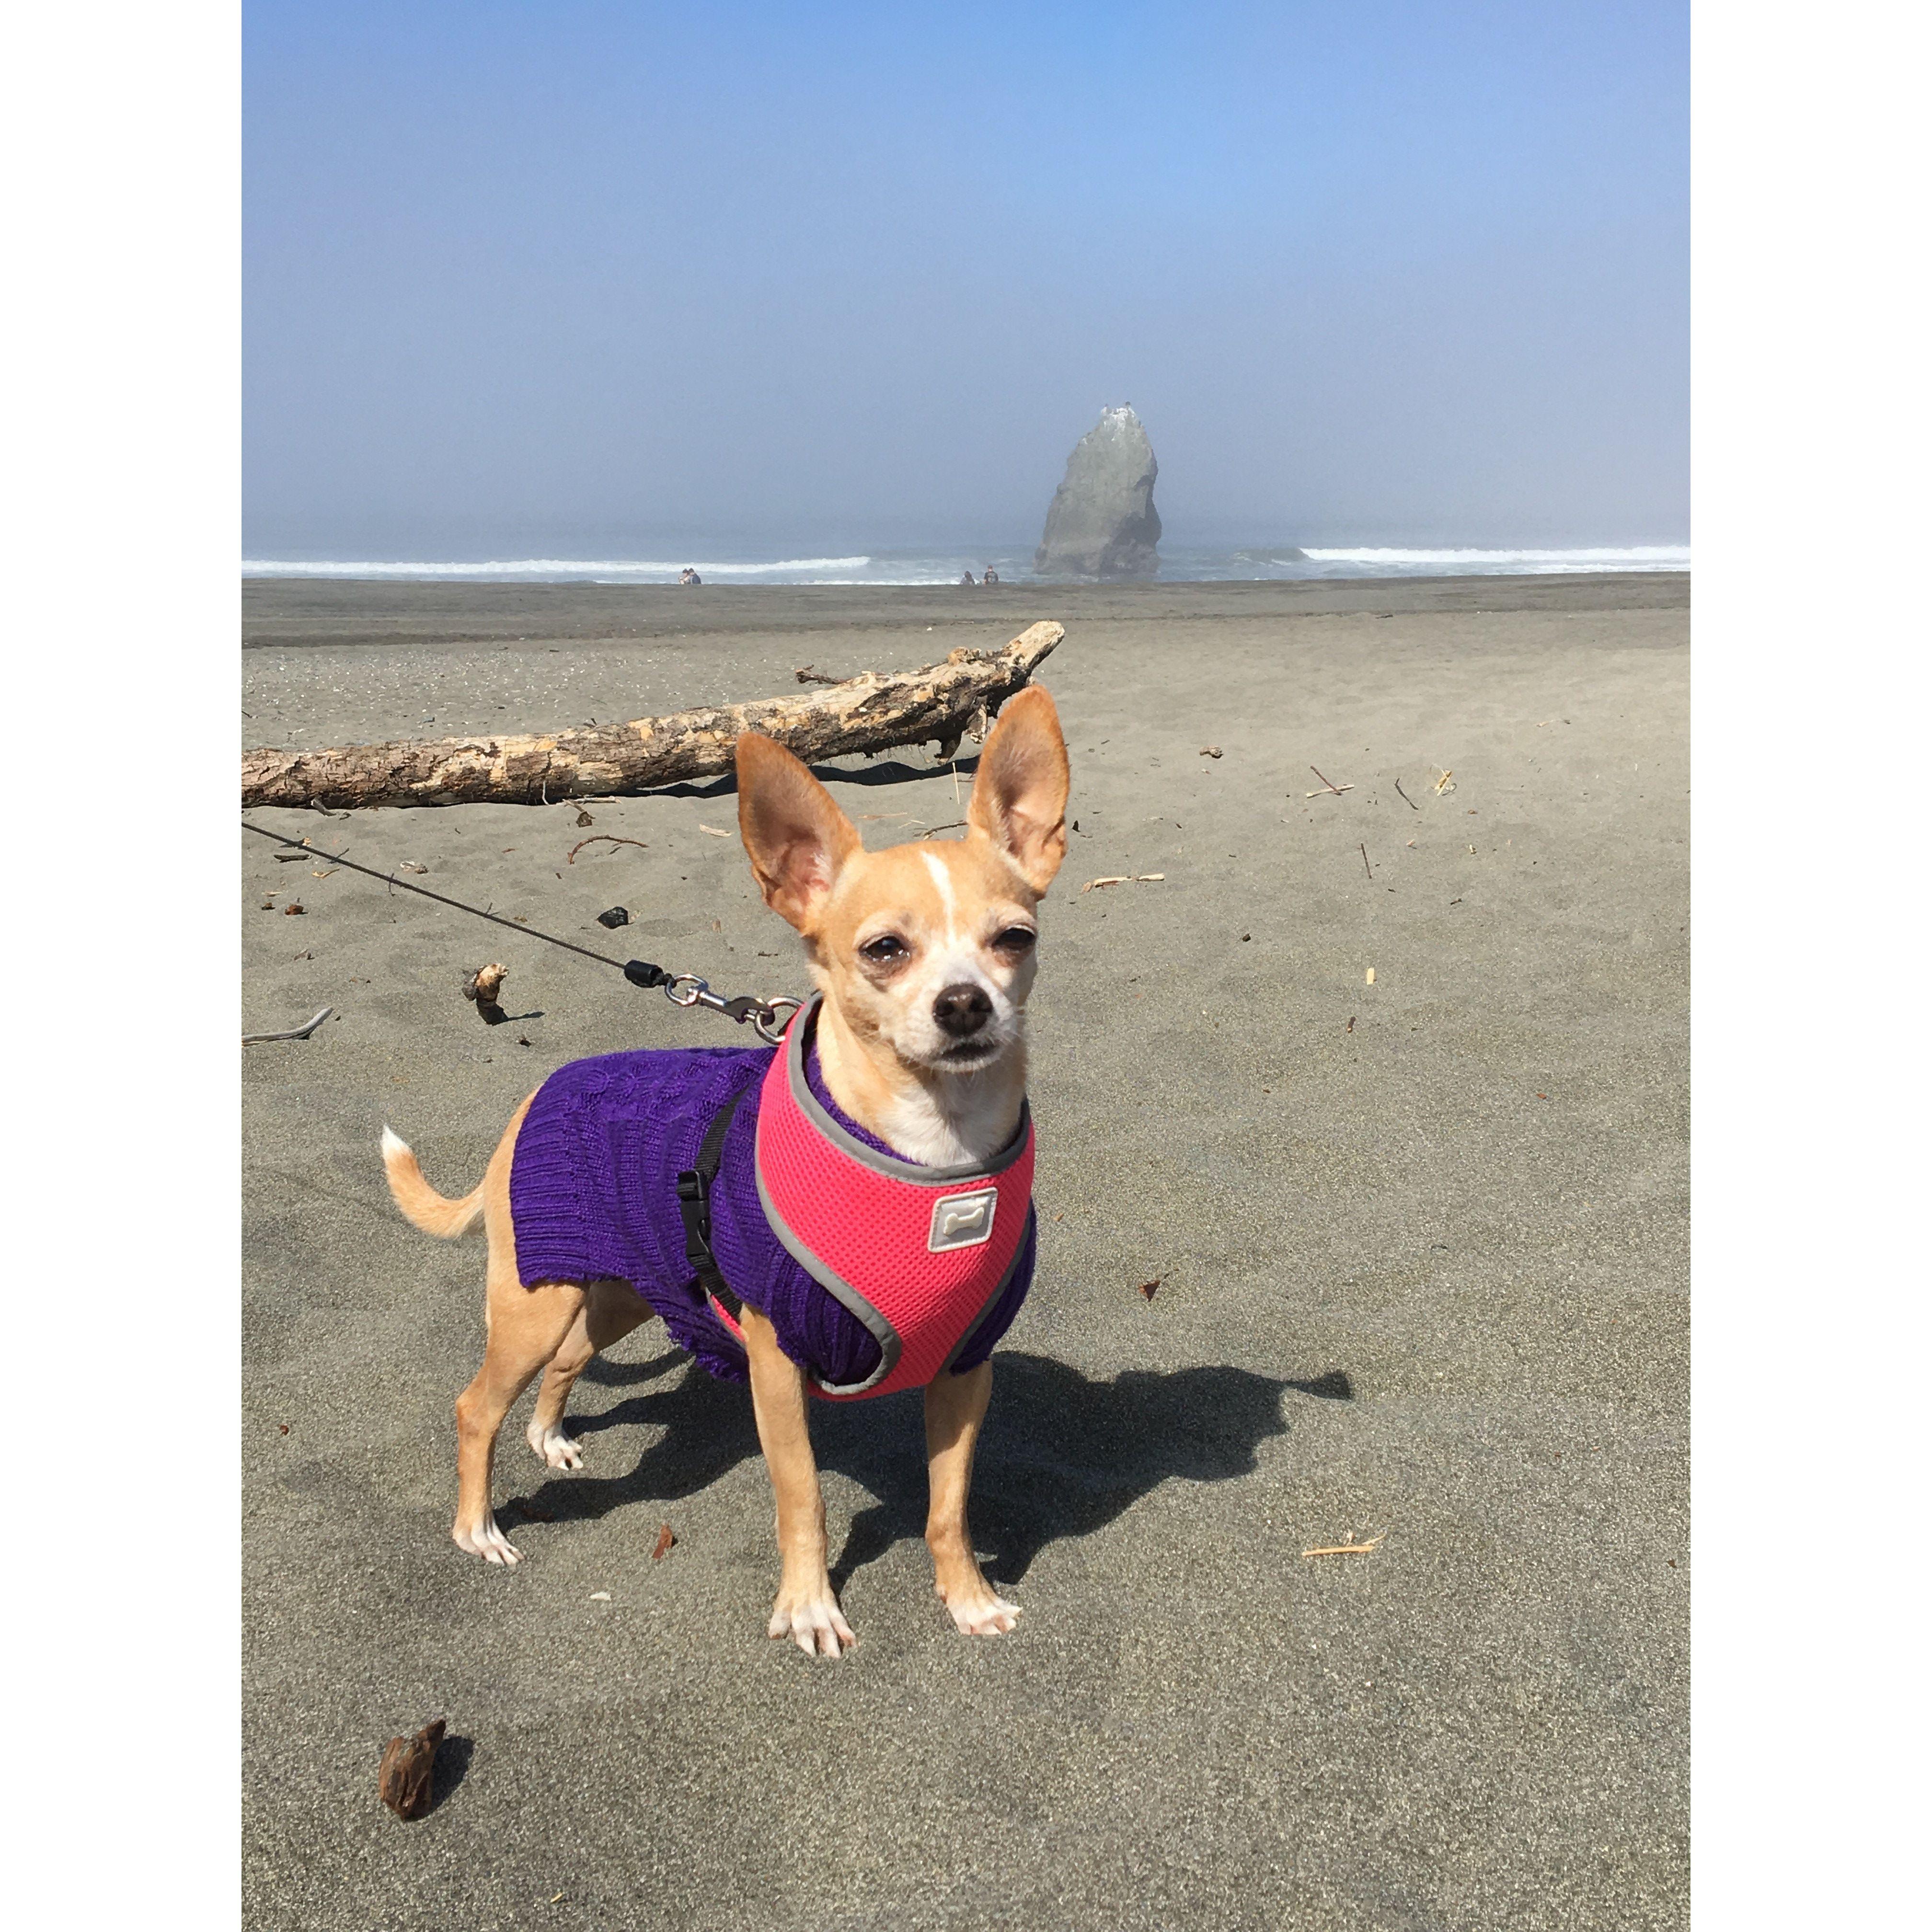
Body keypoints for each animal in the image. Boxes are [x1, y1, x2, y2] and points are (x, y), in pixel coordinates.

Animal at [377, 688, 1074, 1654]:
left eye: (1014, 939)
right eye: (884, 951)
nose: (966, 1003)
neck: (934, 1153)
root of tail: (531, 1100)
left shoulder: (966, 1367)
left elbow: (948, 1504)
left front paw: (965, 1596)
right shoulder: (777, 1368)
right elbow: (803, 1496)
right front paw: (810, 1606)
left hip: (625, 1293)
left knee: (568, 1362)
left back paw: (550, 1436)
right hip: (532, 1305)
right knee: (476, 1406)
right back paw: (477, 1526)